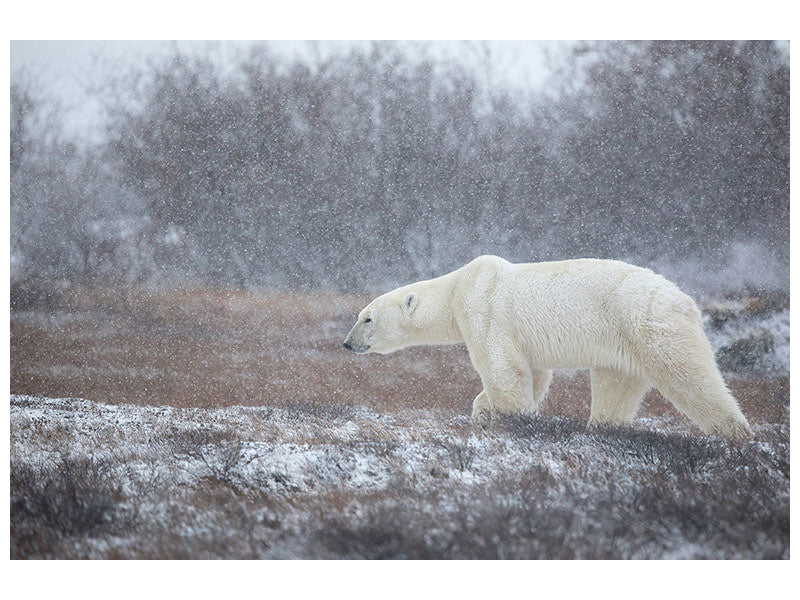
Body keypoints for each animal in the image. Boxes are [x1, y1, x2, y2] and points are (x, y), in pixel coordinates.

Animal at [344, 253, 752, 440]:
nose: (347, 343)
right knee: (616, 386)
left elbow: (504, 371)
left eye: (367, 318)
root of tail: (687, 301)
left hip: (649, 324)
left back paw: (736, 436)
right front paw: (481, 414)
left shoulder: (484, 309)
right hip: (622, 343)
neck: (458, 286)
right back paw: (600, 430)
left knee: (691, 378)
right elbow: (533, 373)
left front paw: (512, 422)